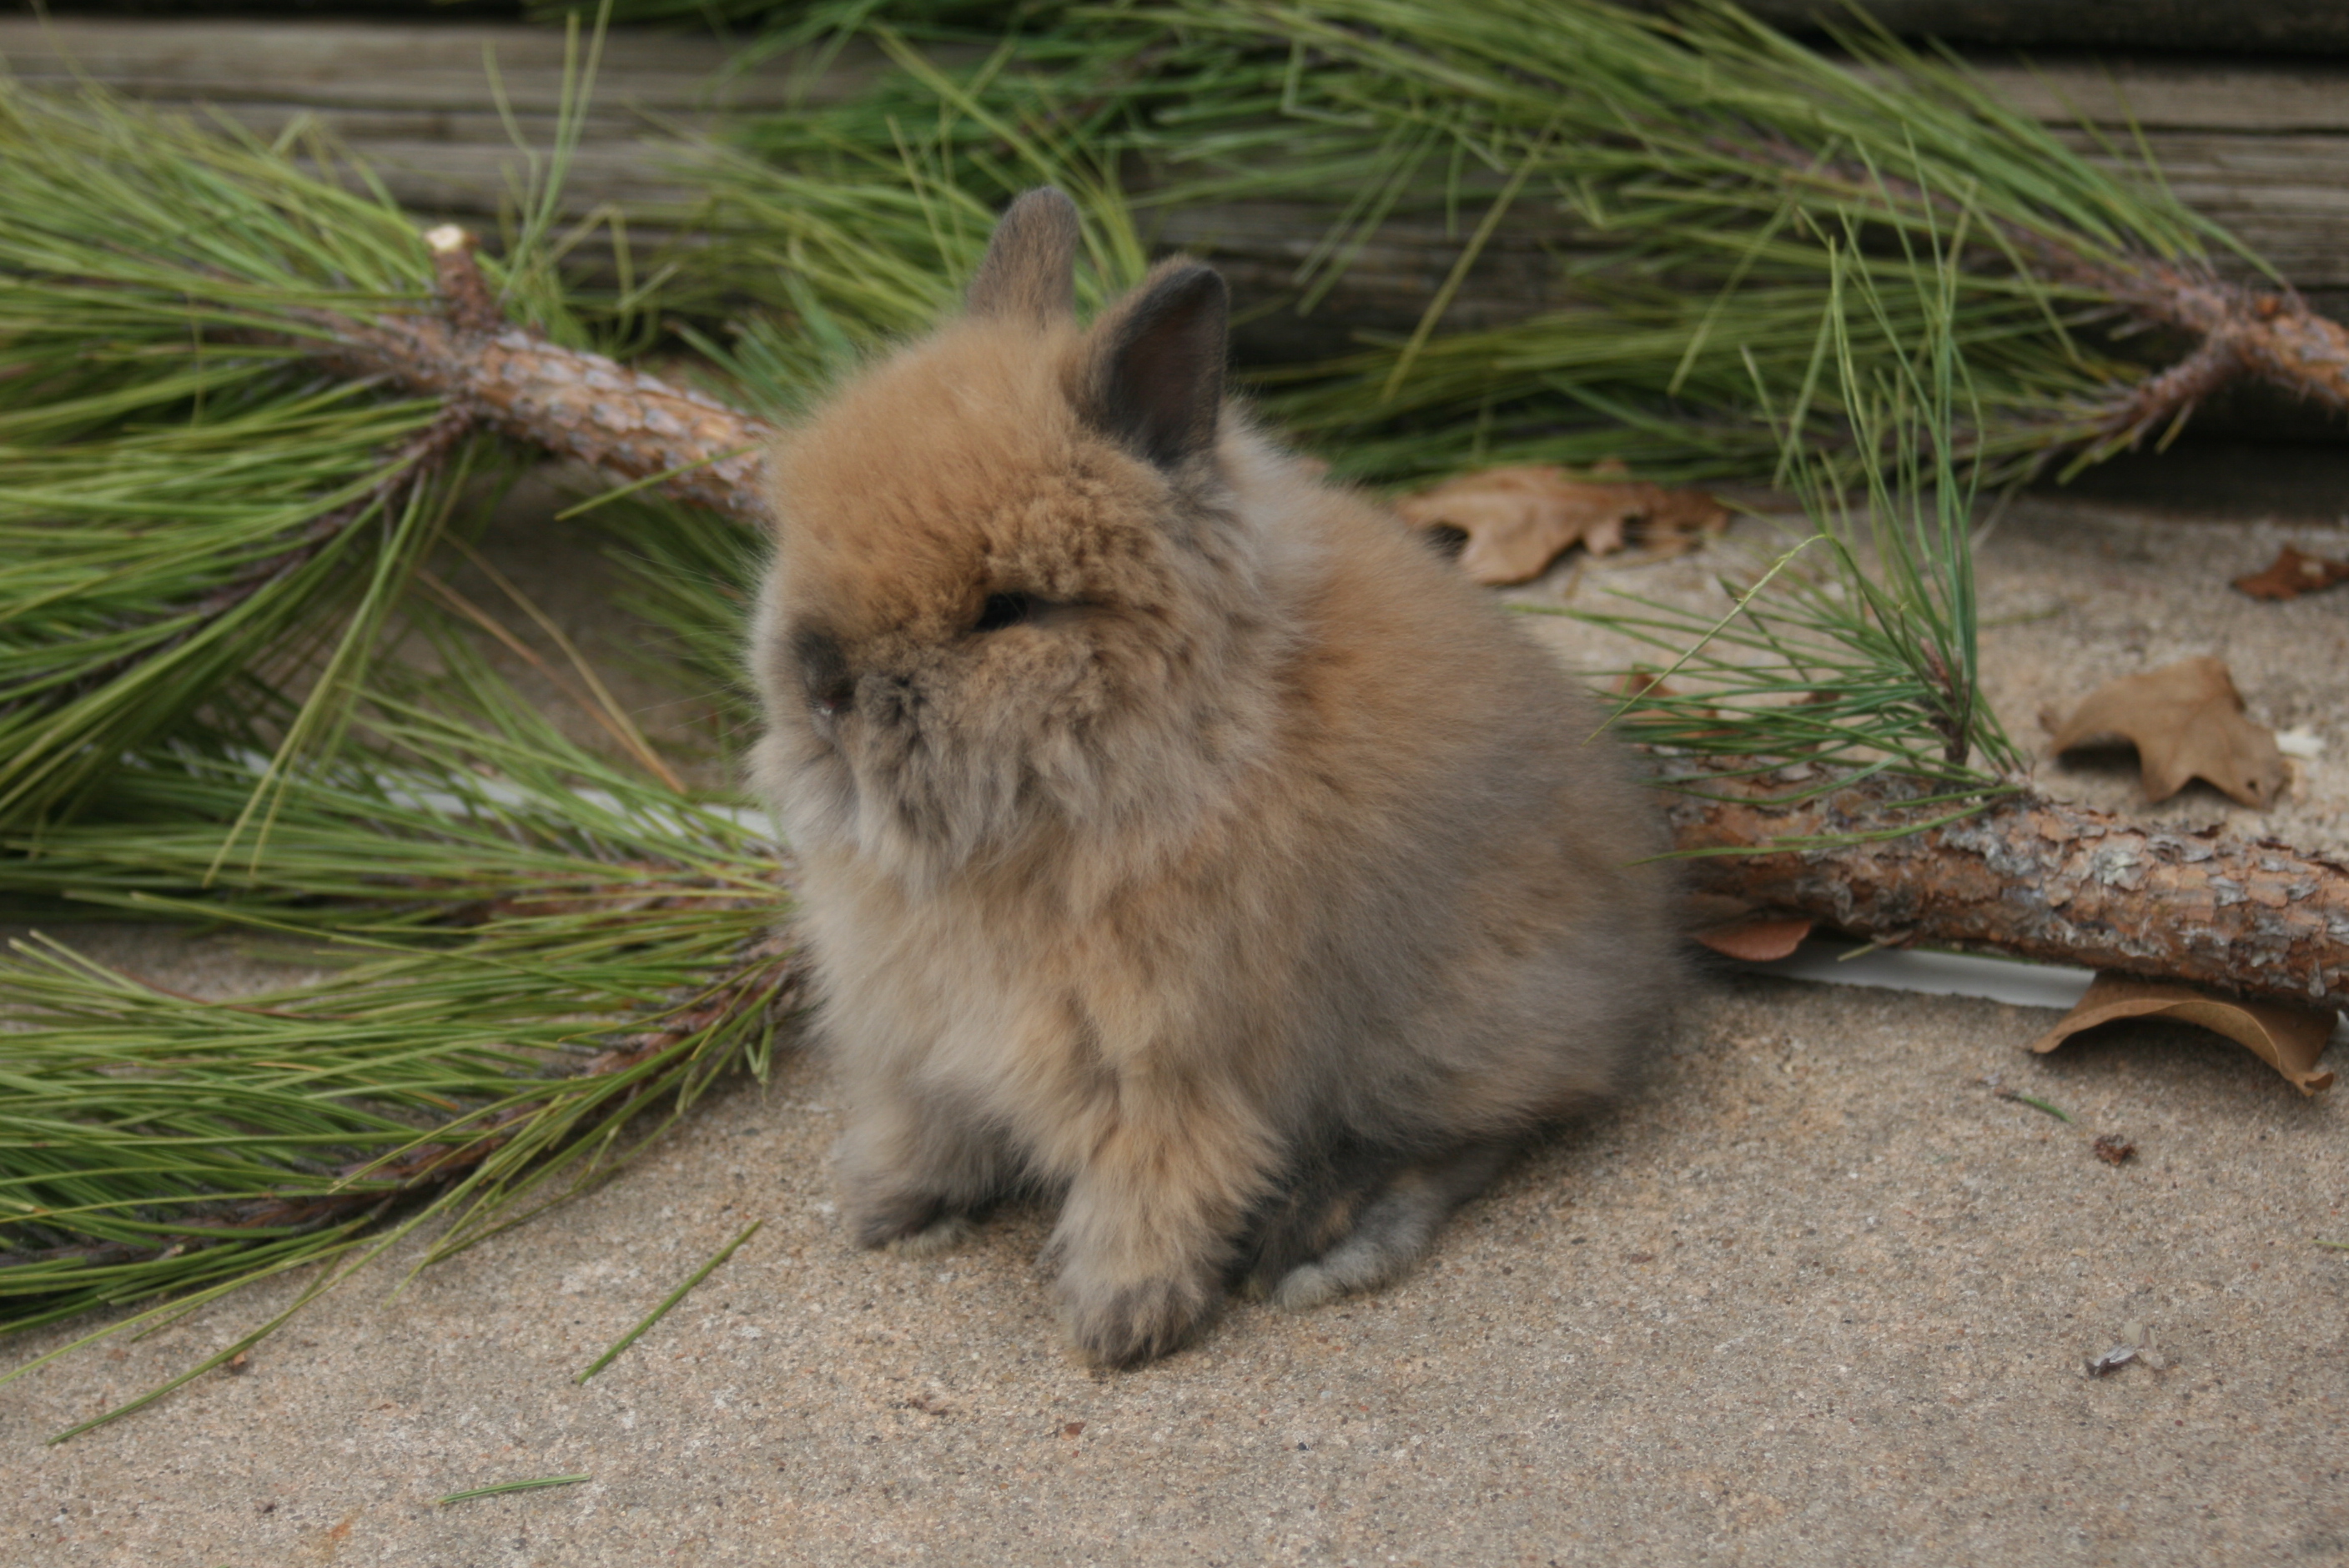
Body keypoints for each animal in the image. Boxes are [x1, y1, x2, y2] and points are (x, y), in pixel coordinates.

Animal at [748, 187, 1677, 1367]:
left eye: (1006, 609)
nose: (821, 683)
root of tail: (1647, 961)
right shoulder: (920, 1040)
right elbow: (929, 1124)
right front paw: (886, 1206)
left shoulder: (1164, 1064)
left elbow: (1157, 1181)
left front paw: (1121, 1320)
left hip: (1457, 1030)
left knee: (1487, 1128)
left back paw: (1331, 1240)